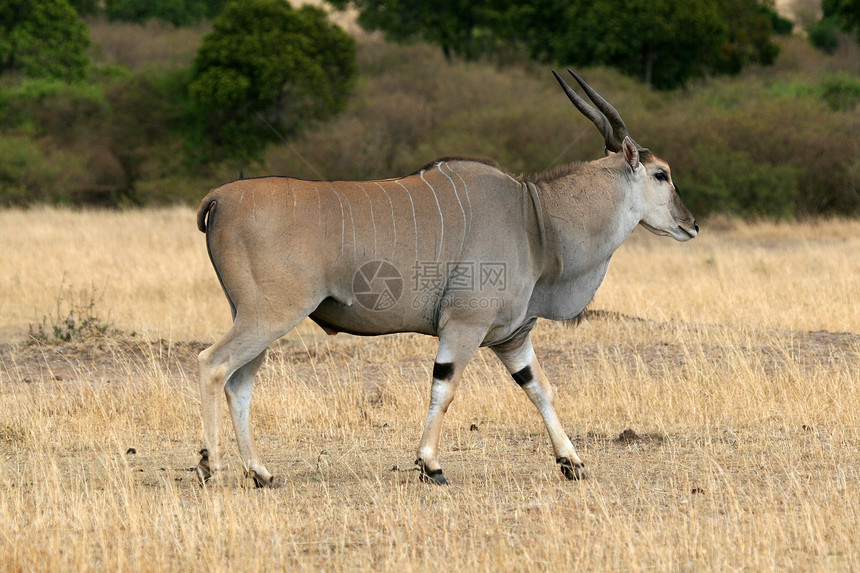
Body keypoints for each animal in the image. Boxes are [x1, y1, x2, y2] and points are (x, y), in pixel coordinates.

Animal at [197, 69, 700, 484]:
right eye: (661, 174)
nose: (691, 224)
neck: (534, 216)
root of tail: (220, 197)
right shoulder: (464, 325)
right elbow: (446, 387)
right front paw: (430, 465)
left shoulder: (512, 337)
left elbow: (540, 389)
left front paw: (571, 462)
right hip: (269, 316)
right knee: (213, 365)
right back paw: (211, 466)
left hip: (256, 318)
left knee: (239, 383)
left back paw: (260, 472)